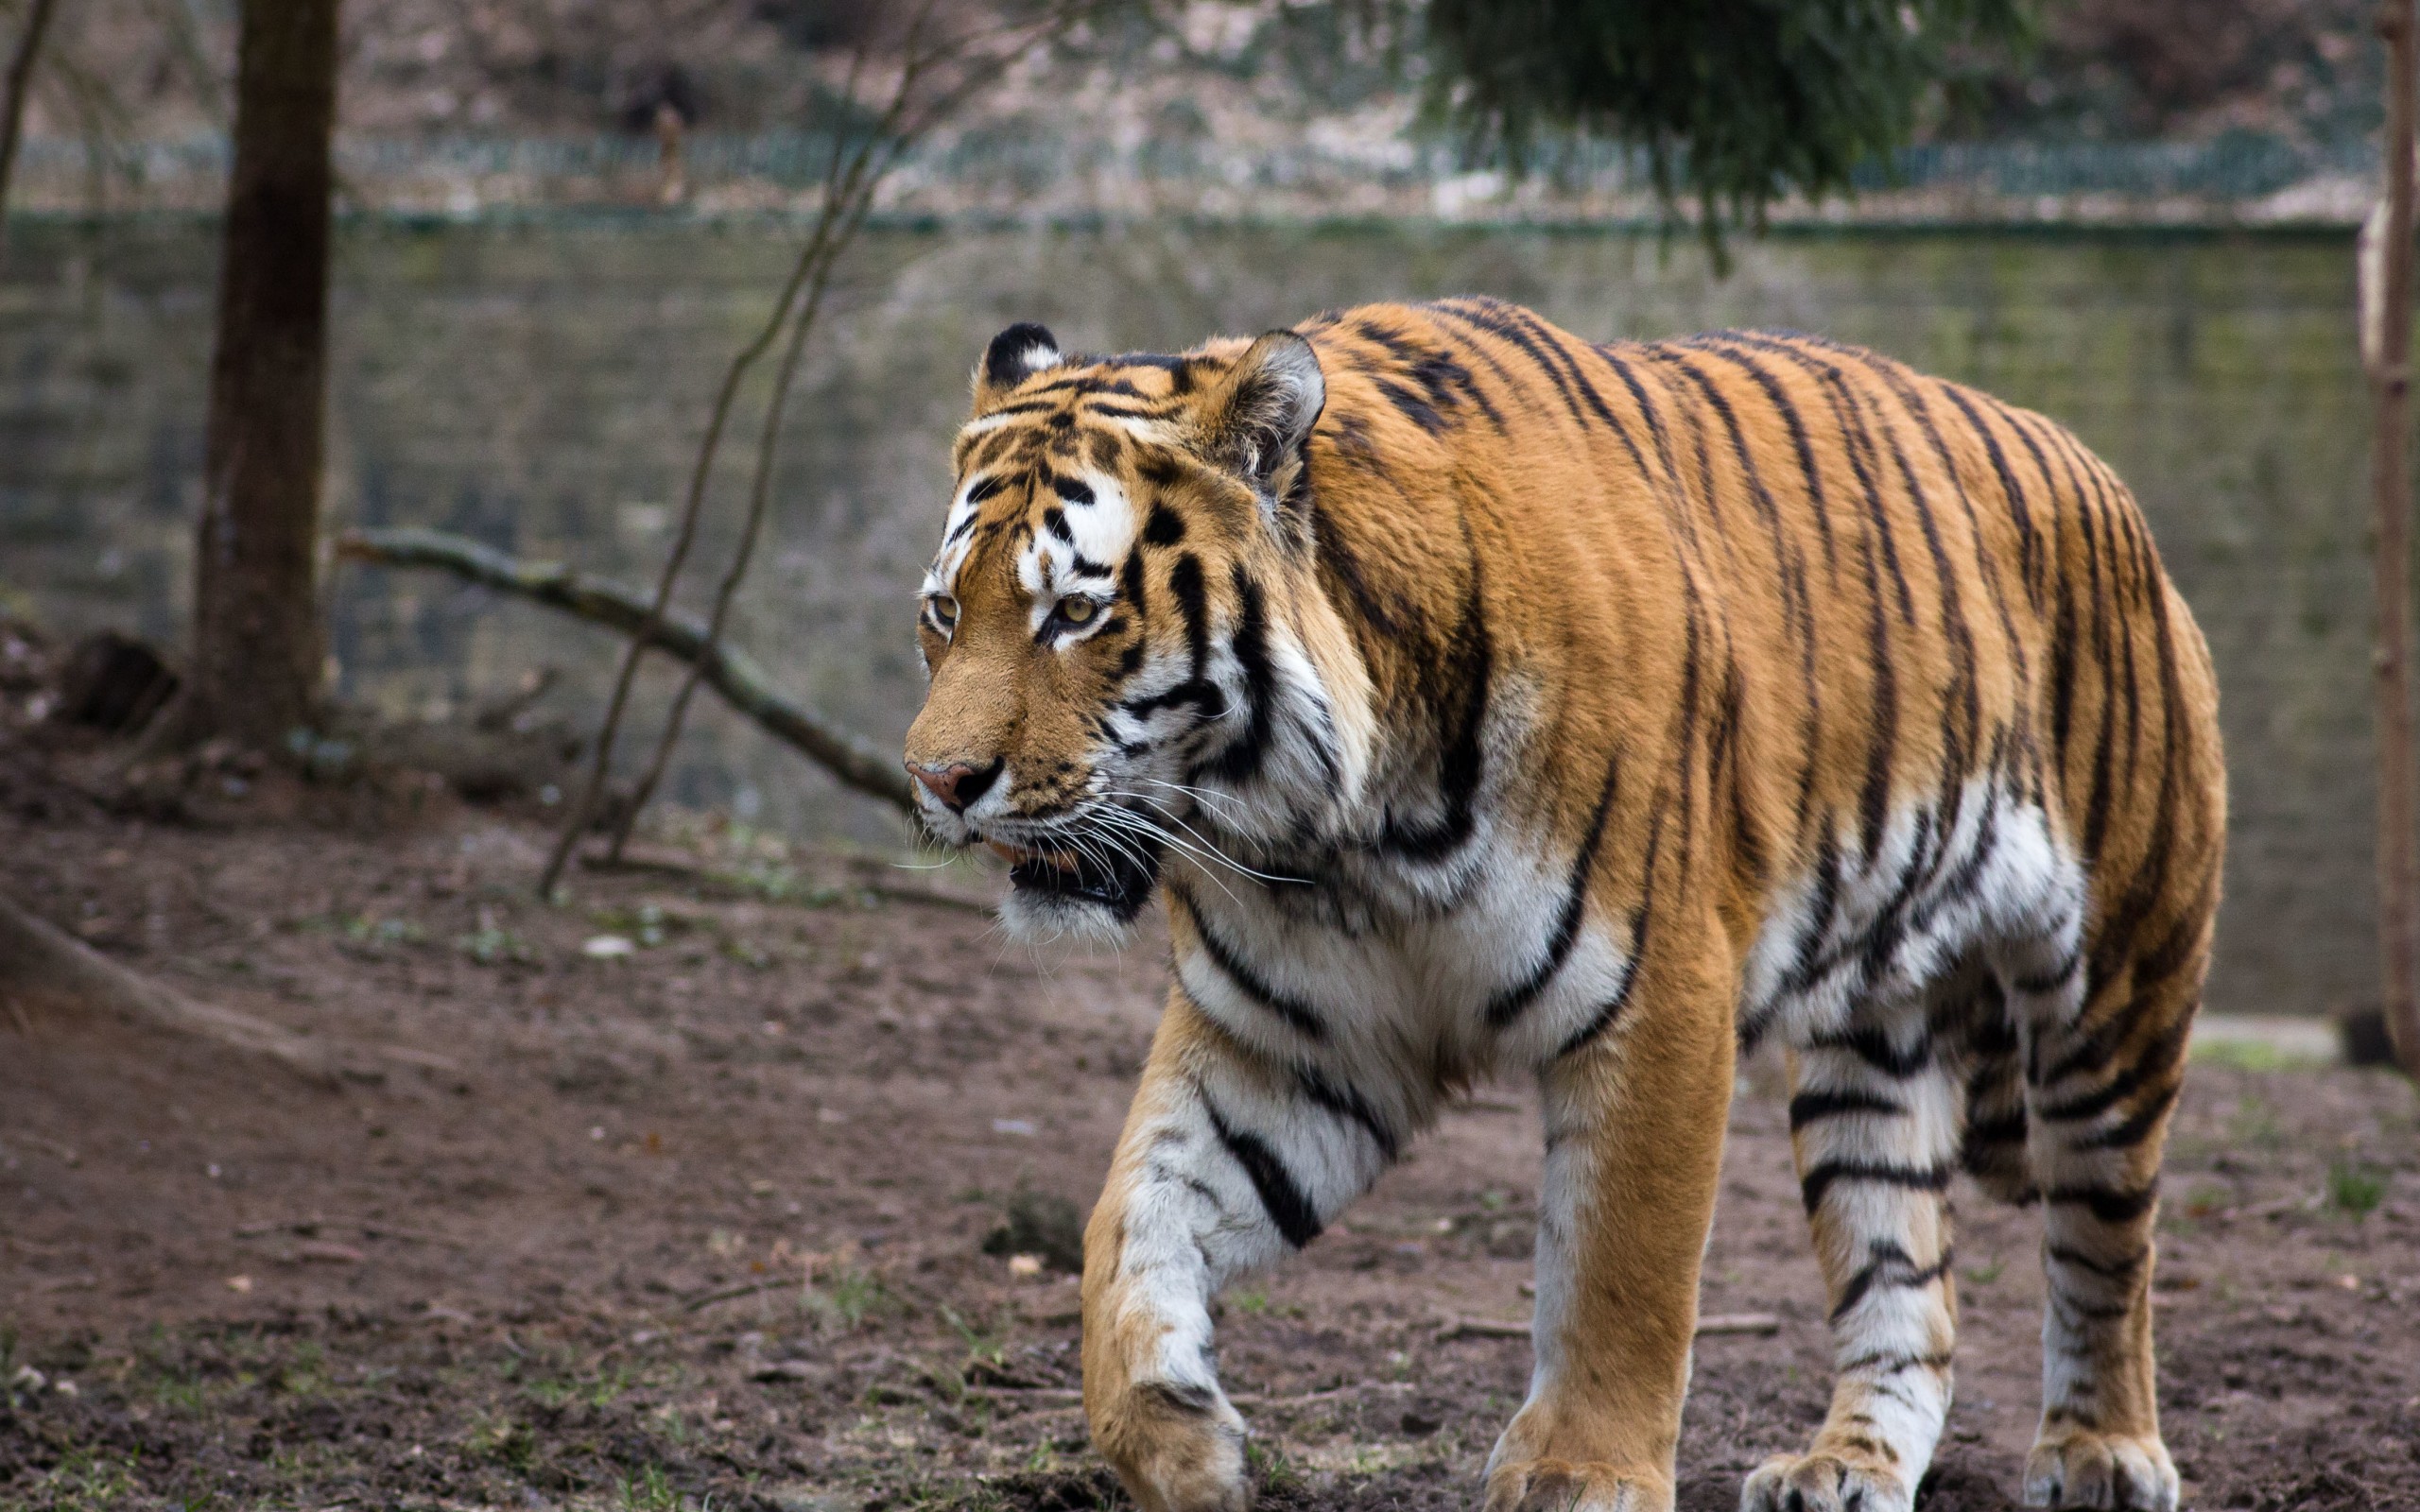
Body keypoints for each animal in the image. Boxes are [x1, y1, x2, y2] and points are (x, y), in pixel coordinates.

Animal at [909, 295, 2226, 1509]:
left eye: (1077, 612)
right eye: (944, 611)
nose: (936, 782)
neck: (1346, 837)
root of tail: (2100, 476)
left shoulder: (1662, 1004)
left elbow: (1620, 1274)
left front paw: (1581, 1472)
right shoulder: (1292, 1041)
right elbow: (1129, 1219)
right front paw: (1177, 1440)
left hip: (2113, 995)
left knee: (2107, 1241)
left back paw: (2101, 1450)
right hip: (1870, 1043)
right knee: (1907, 1285)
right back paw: (1842, 1466)